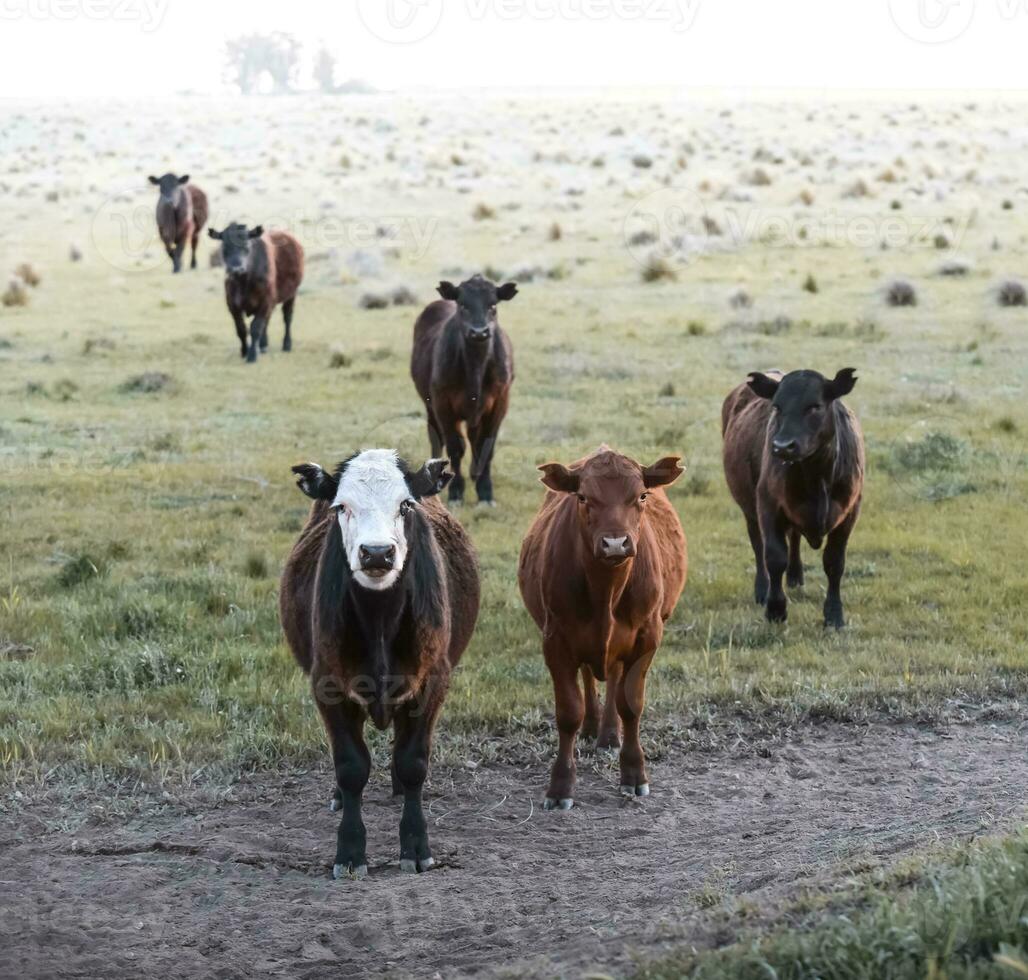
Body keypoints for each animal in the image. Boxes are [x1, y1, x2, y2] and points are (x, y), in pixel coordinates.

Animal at [206, 224, 302, 366]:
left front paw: (252, 356)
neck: (243, 282)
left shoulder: (265, 301)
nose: (236, 269)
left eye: (247, 246)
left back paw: (287, 344)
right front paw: (245, 351)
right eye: (224, 247)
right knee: (267, 321)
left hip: (291, 294)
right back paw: (263, 346)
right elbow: (241, 329)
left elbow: (255, 328)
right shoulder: (233, 305)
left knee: (287, 318)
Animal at [409, 273, 518, 503]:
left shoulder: (500, 403)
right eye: (463, 305)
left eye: (493, 305)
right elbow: (455, 447)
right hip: (430, 406)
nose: (479, 332)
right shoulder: (442, 404)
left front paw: (485, 492)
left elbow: (486, 445)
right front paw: (456, 491)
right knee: (436, 437)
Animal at [518, 448, 686, 806]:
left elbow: (630, 705)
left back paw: (609, 734)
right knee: (589, 676)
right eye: (583, 497)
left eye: (642, 495)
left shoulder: (647, 639)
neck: (606, 590)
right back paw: (593, 727)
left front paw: (634, 773)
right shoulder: (556, 641)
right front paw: (561, 785)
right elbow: (569, 712)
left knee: (614, 680)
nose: (615, 543)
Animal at [723, 366, 867, 625]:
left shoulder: (850, 512)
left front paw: (834, 615)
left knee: (795, 537)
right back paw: (762, 589)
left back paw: (795, 575)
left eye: (814, 406)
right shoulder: (767, 505)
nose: (782, 446)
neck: (817, 476)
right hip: (749, 508)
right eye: (777, 407)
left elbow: (834, 562)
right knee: (758, 545)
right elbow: (774, 557)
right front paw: (775, 609)